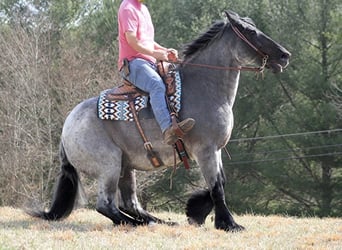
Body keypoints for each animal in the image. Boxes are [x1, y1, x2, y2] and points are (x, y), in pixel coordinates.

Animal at [26, 10, 290, 231]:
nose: (285, 55)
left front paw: (196, 211)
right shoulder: (205, 150)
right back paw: (139, 224)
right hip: (109, 165)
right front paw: (229, 224)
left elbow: (221, 182)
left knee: (130, 204)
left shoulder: (215, 150)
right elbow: (217, 187)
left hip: (126, 167)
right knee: (106, 205)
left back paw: (158, 221)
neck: (203, 88)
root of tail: (67, 126)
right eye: (250, 32)